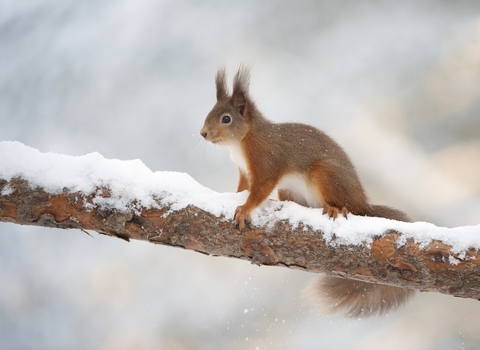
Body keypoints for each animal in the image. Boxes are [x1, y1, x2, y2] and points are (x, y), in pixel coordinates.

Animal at [201, 65, 414, 318]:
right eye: (210, 112)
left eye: (226, 119)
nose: (203, 133)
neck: (243, 140)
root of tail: (363, 203)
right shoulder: (244, 171)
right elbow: (243, 188)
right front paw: (235, 197)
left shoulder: (266, 163)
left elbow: (259, 190)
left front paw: (244, 209)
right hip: (291, 192)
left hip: (325, 174)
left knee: (346, 206)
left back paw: (335, 208)